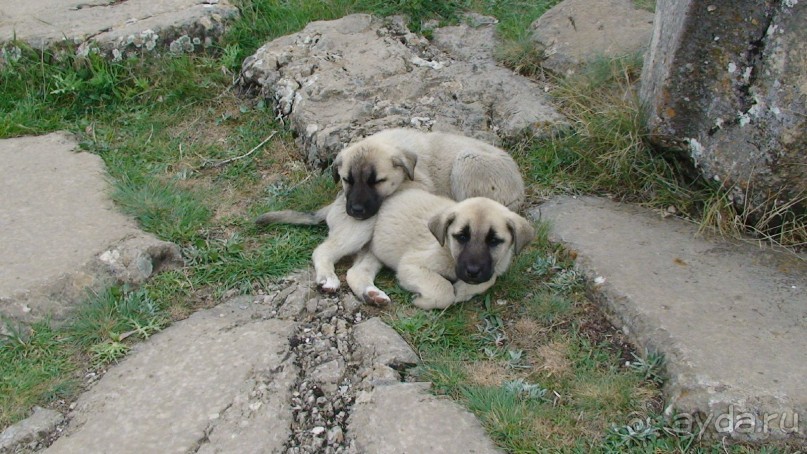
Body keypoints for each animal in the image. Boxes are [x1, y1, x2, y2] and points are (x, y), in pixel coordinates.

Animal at [344, 187, 532, 308]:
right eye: (462, 236)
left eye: (494, 241)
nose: (472, 271)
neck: (448, 251)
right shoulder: (411, 265)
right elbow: (444, 290)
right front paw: (421, 300)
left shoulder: (493, 271)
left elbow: (487, 280)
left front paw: (462, 290)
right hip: (359, 234)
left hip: (375, 252)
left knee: (356, 272)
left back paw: (371, 295)